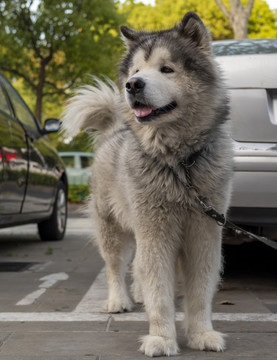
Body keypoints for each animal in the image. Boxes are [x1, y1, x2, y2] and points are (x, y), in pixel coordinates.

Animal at [62, 11, 231, 358]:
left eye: (166, 69)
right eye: (136, 71)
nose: (132, 85)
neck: (180, 164)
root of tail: (114, 129)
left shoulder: (204, 233)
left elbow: (199, 291)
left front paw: (201, 333)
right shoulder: (155, 231)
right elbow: (158, 291)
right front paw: (162, 338)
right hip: (114, 228)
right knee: (115, 267)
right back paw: (118, 300)